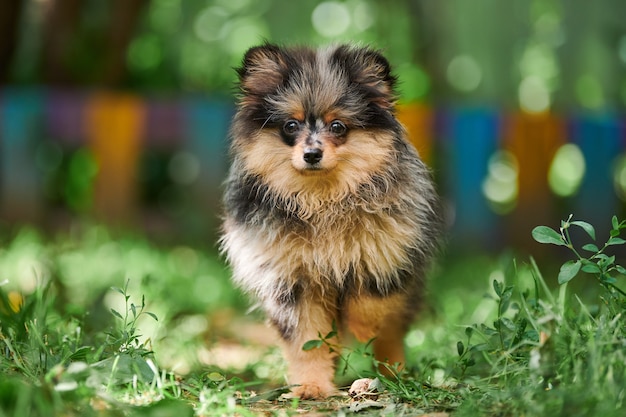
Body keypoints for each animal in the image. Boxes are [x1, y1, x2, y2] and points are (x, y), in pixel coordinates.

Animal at [222, 44, 442, 398]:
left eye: (337, 126)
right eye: (291, 126)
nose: (312, 153)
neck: (323, 200)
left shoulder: (383, 256)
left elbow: (369, 304)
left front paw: (360, 329)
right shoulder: (292, 282)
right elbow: (308, 342)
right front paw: (311, 386)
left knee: (392, 333)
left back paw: (394, 373)